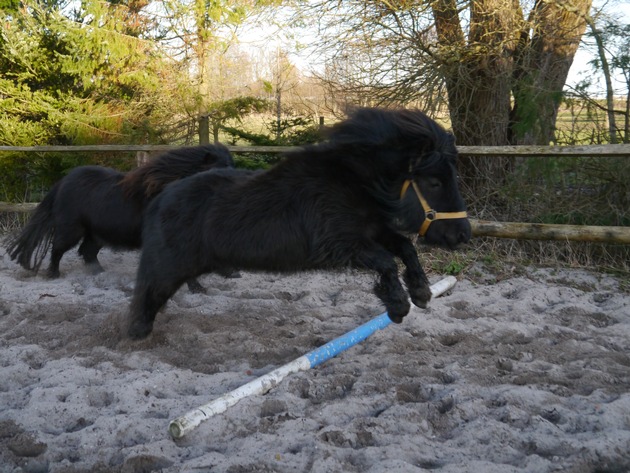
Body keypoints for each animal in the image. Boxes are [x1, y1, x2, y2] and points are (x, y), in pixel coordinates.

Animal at [6, 144, 235, 290]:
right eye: (219, 171)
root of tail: (63, 181)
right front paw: (198, 287)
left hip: (96, 234)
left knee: (87, 252)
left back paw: (100, 275)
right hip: (71, 229)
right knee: (58, 249)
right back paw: (53, 275)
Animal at [130, 108, 474, 340]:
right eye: (433, 182)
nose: (462, 235)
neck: (352, 181)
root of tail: (164, 195)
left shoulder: (372, 230)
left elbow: (404, 249)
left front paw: (421, 293)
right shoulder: (340, 244)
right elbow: (387, 261)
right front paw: (398, 306)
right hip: (168, 265)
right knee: (147, 291)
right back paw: (137, 333)